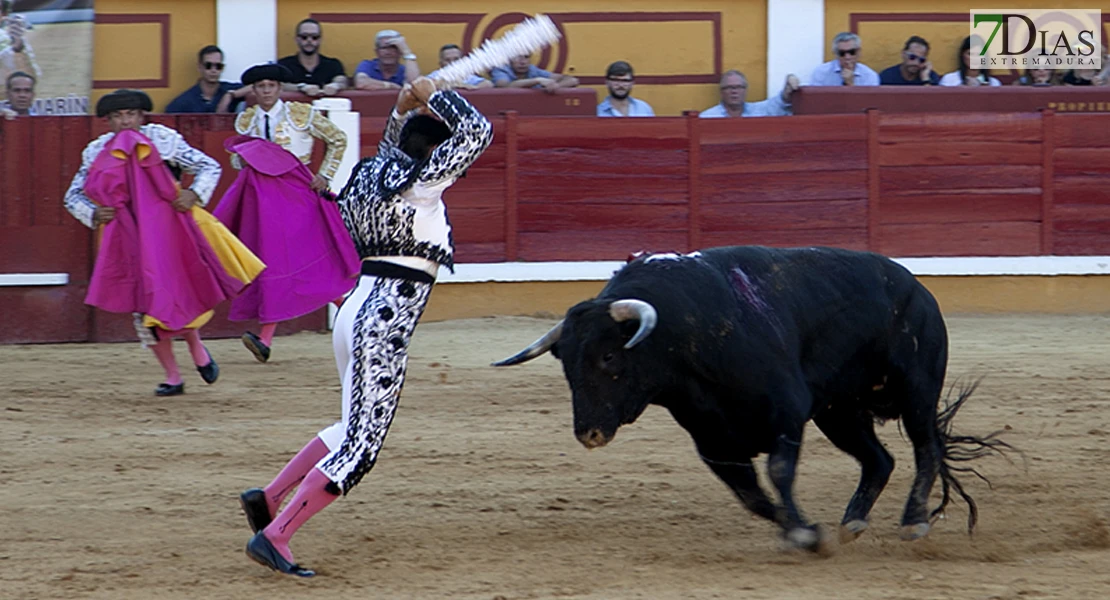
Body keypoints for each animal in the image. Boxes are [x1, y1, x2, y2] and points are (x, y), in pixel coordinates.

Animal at [495, 243, 1016, 552]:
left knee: (925, 447)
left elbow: (779, 472)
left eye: (607, 356)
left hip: (916, 389)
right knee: (879, 460)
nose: (589, 433)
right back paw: (851, 522)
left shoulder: (786, 413)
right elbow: (752, 496)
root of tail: (915, 286)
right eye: (566, 365)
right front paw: (799, 532)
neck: (687, 338)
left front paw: (803, 532)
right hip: (839, 412)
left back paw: (913, 520)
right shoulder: (714, 443)